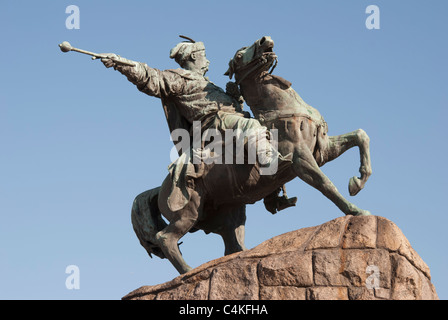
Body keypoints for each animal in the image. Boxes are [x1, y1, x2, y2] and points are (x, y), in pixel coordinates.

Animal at [131, 36, 372, 274]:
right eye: (239, 56)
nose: (266, 40)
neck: (279, 108)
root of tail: (160, 189)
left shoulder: (322, 150)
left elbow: (361, 136)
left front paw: (357, 182)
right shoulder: (301, 160)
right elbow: (326, 184)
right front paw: (356, 211)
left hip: (231, 217)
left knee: (230, 246)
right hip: (188, 212)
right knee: (165, 238)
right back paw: (189, 270)